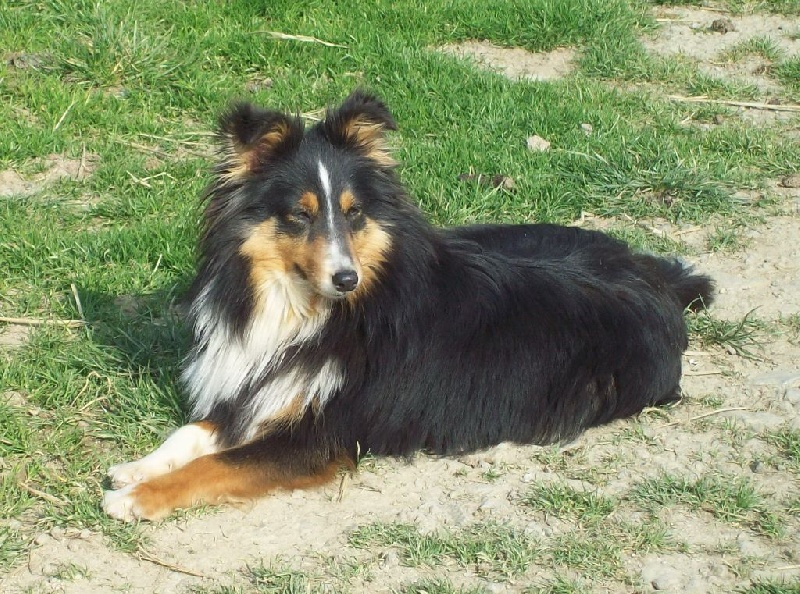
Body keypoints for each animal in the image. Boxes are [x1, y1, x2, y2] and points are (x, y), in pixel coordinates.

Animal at [103, 91, 713, 521]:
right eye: (299, 215)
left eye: (353, 212)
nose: (347, 278)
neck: (307, 311)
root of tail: (656, 278)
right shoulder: (256, 389)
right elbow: (191, 434)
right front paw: (134, 468)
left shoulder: (322, 436)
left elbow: (216, 463)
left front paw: (138, 497)